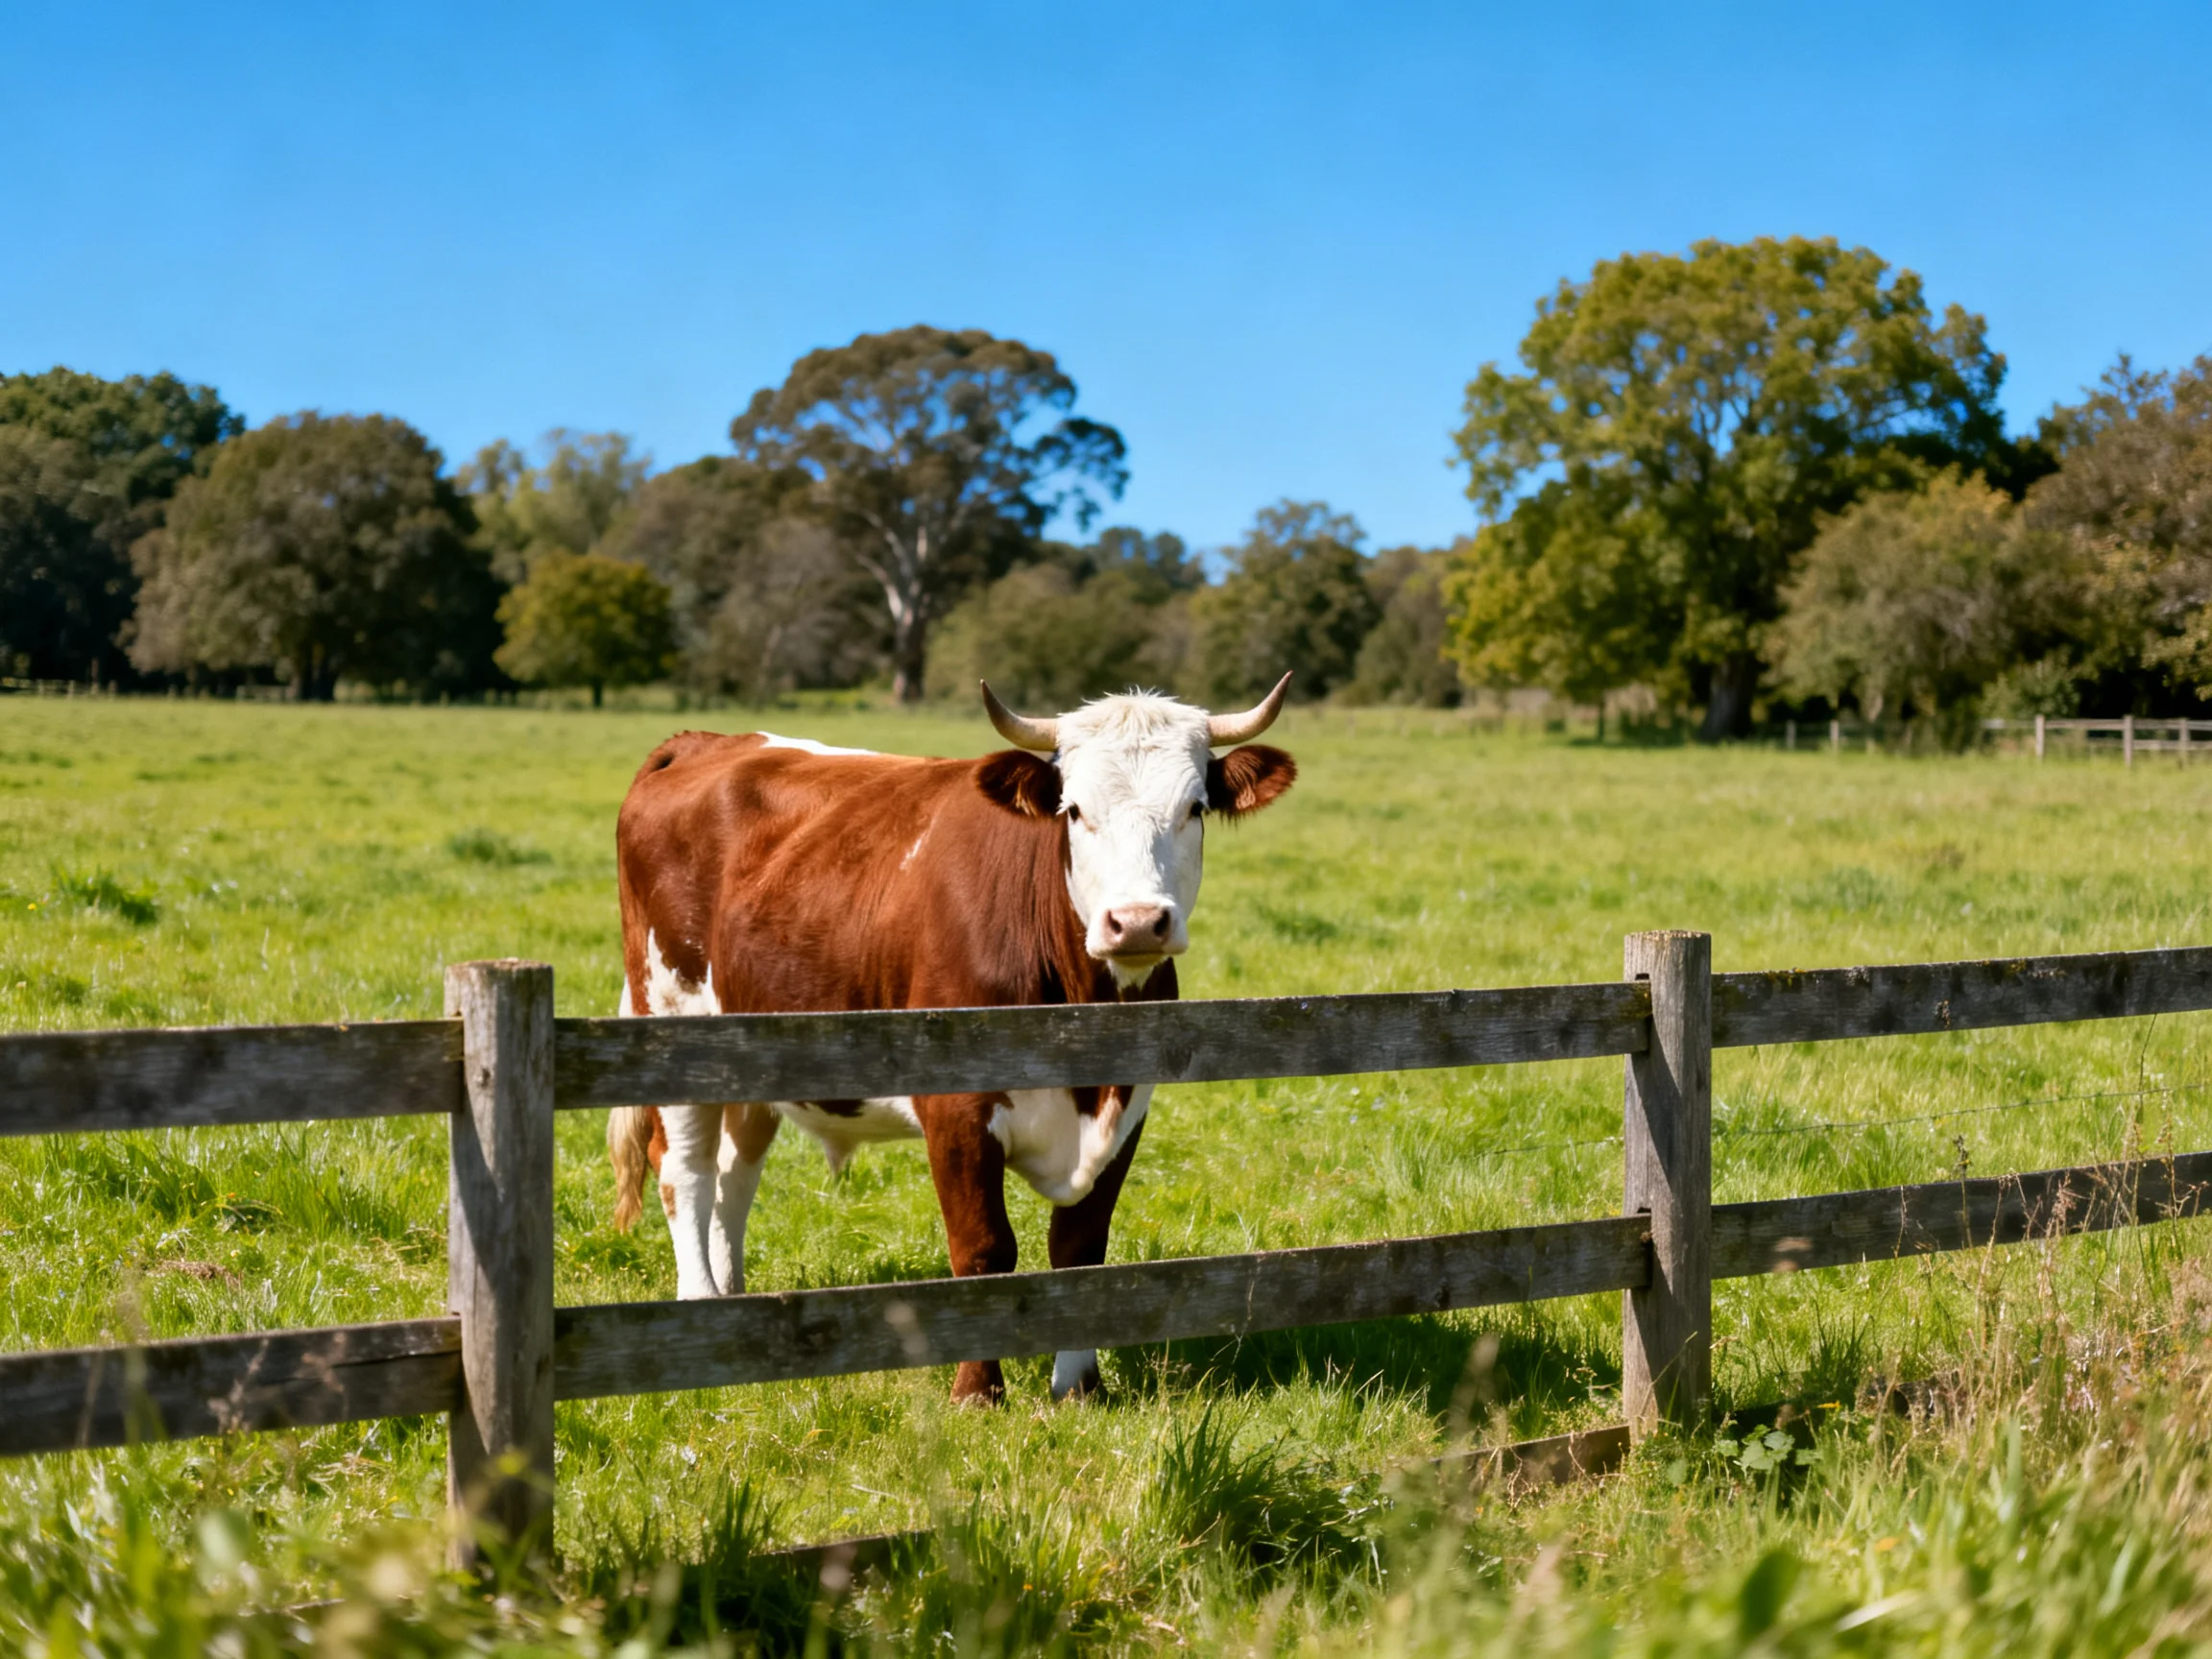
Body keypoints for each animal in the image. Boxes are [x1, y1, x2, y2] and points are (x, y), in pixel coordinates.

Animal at [605, 677, 1297, 1403]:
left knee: (736, 1172)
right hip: (674, 1019)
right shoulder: (956, 1110)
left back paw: (732, 1311)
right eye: (1074, 810)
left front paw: (1078, 1388)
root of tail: (702, 742)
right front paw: (978, 1392)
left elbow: (1079, 1248)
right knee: (685, 1169)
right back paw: (699, 1303)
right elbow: (984, 1248)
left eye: (1194, 808)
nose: (1136, 922)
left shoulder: (1129, 1103)